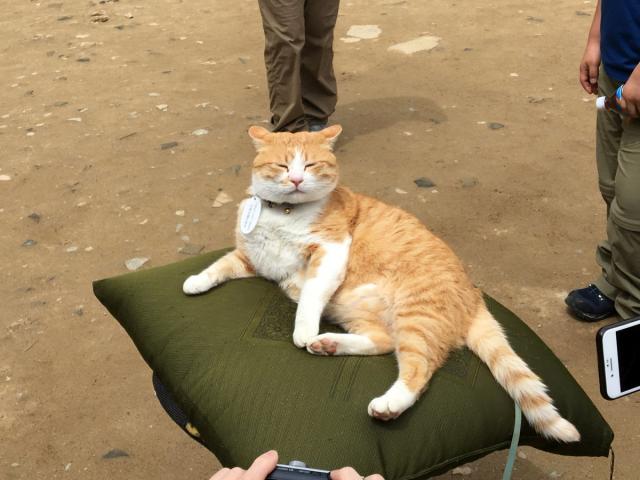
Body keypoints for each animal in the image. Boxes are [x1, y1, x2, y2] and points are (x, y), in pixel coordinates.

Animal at [183, 125, 580, 443]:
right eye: (282, 166)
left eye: (310, 166)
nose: (295, 180)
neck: (285, 213)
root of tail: (474, 295)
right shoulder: (254, 258)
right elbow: (220, 266)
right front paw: (196, 282)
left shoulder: (330, 254)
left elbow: (309, 297)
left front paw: (302, 330)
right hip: (358, 312)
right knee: (383, 342)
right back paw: (327, 344)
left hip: (415, 317)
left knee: (418, 369)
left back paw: (387, 403)